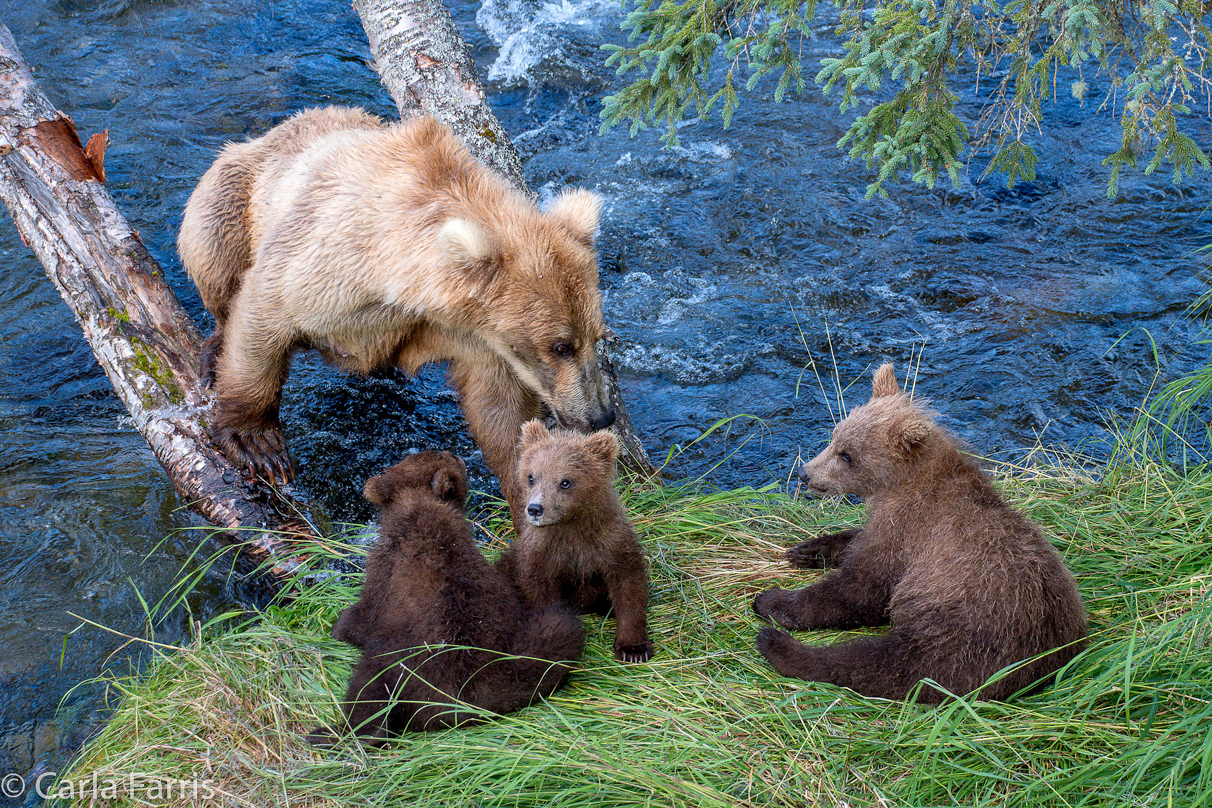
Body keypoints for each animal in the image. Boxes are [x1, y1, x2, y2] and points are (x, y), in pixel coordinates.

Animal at [176, 107, 615, 516]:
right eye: (560, 346)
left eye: (597, 336)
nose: (600, 416)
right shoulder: (321, 265)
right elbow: (263, 316)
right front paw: (257, 444)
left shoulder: (470, 334)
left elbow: (500, 410)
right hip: (233, 189)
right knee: (214, 252)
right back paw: (213, 353)